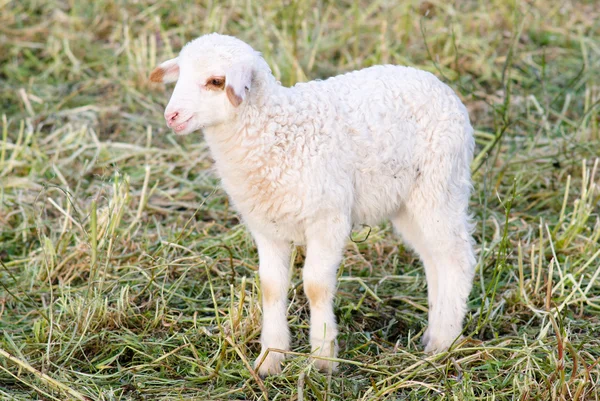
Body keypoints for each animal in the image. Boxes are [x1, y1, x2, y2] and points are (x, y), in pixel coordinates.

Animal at [151, 33, 478, 376]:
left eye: (216, 81)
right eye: (181, 73)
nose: (171, 116)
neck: (277, 133)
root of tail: (440, 86)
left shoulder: (328, 219)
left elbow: (316, 286)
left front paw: (323, 357)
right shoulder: (267, 227)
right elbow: (271, 286)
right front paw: (270, 359)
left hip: (440, 185)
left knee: (456, 258)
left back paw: (445, 342)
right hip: (408, 204)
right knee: (433, 259)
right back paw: (433, 333)